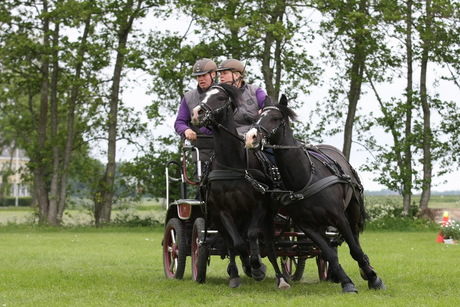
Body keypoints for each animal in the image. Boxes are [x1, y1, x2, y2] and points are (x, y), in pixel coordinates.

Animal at [192, 83, 290, 290]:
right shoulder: (223, 212)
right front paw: (248, 267)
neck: (233, 165)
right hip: (217, 218)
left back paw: (280, 278)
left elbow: (252, 235)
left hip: (265, 217)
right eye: (202, 96)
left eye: (220, 98)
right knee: (230, 243)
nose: (197, 113)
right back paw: (235, 274)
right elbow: (237, 244)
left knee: (269, 246)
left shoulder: (259, 207)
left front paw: (257, 267)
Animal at [246, 95, 386, 294]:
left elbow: (354, 249)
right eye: (256, 118)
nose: (250, 137)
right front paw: (346, 282)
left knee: (355, 239)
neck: (306, 178)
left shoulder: (339, 217)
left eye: (275, 118)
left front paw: (374, 279)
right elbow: (328, 253)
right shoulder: (308, 227)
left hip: (352, 209)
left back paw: (366, 269)